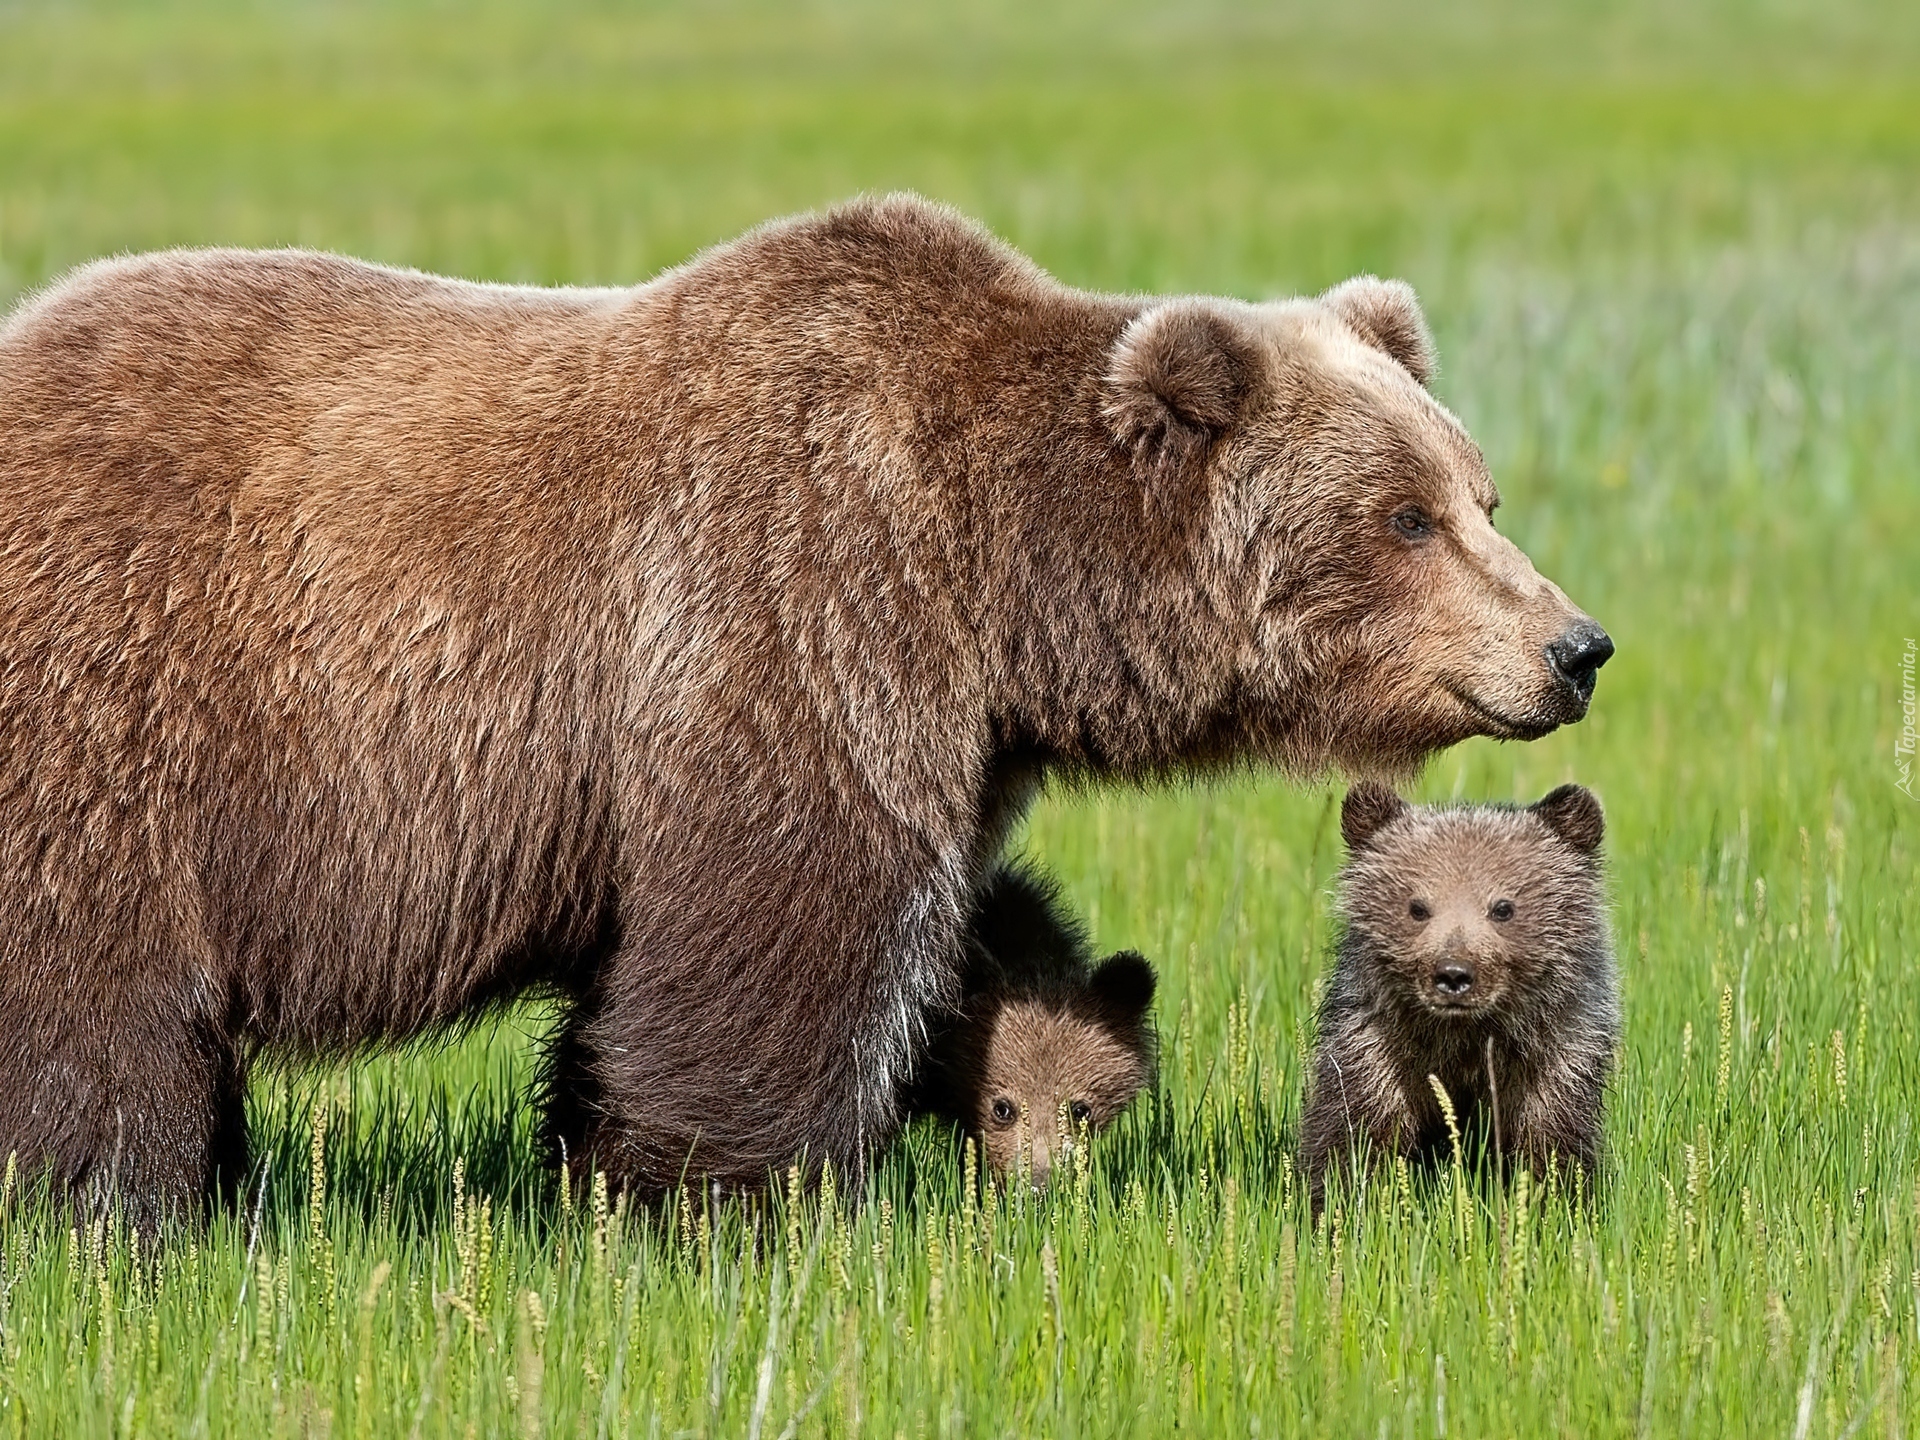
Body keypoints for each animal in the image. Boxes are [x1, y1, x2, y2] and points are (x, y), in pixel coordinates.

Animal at [0, 194, 1605, 1228]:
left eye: (1480, 492)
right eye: (1402, 516)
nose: (1576, 646)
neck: (997, 577)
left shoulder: (953, 722)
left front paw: (604, 1169)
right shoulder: (795, 611)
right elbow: (780, 934)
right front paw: (740, 1201)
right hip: (122, 713)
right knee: (92, 997)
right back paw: (119, 1207)